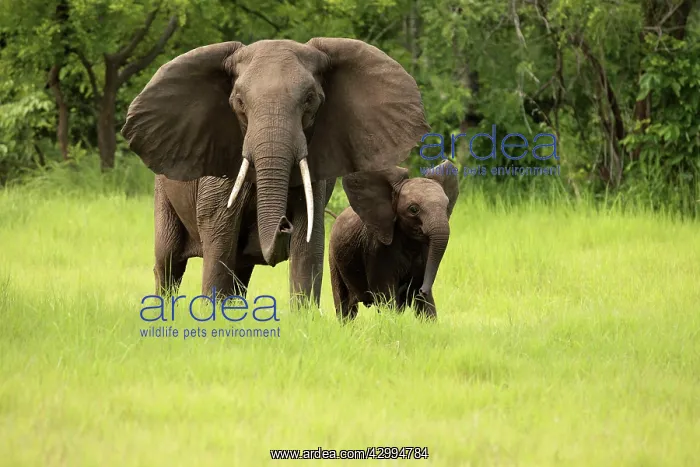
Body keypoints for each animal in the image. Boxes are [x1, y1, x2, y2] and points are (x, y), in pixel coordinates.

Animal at [120, 38, 430, 307]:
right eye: (239, 102)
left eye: (309, 100)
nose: (283, 224)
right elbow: (218, 235)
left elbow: (309, 242)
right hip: (162, 193)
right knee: (168, 262)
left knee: (240, 272)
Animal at [328, 160, 460, 320]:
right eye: (413, 209)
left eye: (447, 207)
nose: (423, 290)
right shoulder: (376, 249)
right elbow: (386, 296)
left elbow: (425, 305)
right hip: (333, 257)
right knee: (345, 307)